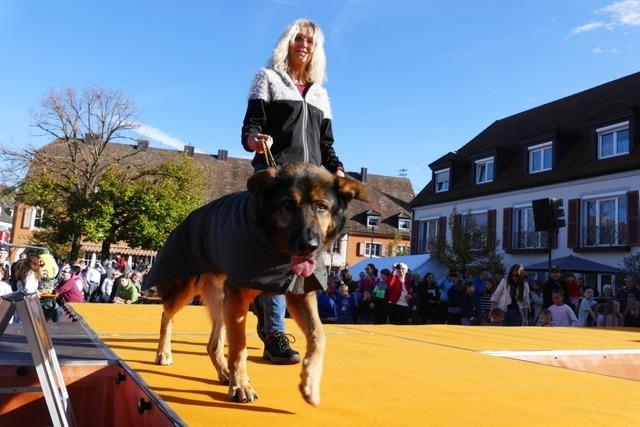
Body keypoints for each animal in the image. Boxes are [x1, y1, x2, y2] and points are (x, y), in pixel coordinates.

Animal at [143, 165, 368, 408]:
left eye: (322, 207)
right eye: (288, 204)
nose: (309, 246)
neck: (276, 248)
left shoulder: (299, 294)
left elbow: (319, 335)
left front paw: (310, 383)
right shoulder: (238, 298)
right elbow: (239, 346)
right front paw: (240, 386)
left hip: (221, 301)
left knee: (213, 344)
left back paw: (224, 372)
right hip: (189, 286)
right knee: (166, 314)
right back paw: (164, 353)